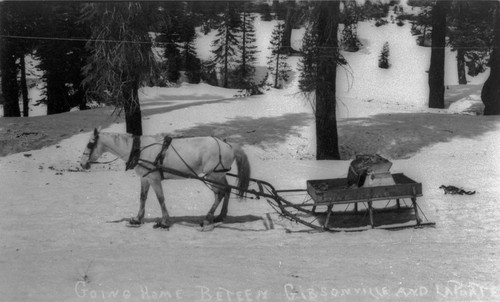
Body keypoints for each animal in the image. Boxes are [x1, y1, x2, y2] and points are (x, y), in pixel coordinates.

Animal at [80, 128, 252, 231]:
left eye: (89, 144)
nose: (82, 164)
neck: (139, 150)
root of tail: (228, 145)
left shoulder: (154, 179)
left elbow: (160, 199)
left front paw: (163, 222)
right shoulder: (145, 178)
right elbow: (142, 198)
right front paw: (137, 219)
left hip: (212, 175)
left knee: (220, 193)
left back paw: (207, 219)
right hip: (218, 175)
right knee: (227, 190)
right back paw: (220, 216)